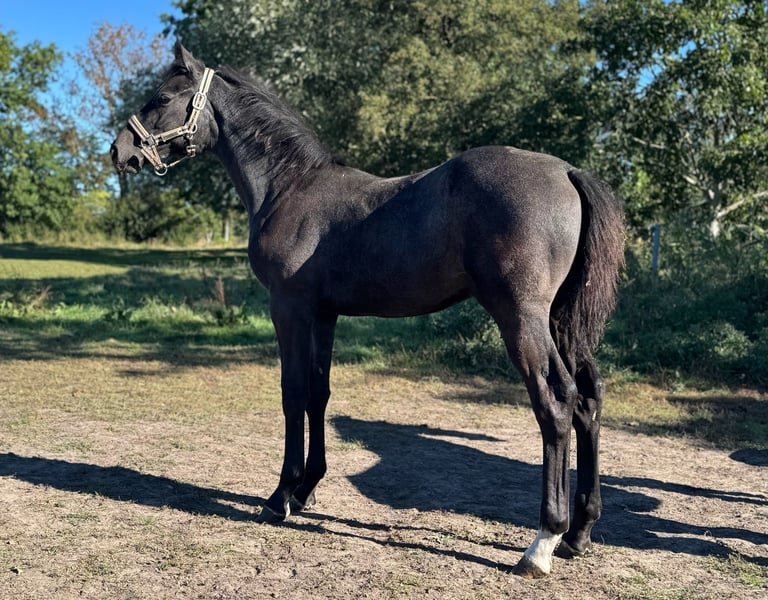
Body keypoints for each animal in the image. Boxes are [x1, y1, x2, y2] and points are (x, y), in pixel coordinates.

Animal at [111, 42, 625, 578]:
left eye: (162, 97)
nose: (120, 151)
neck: (288, 186)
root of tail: (566, 172)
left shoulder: (288, 309)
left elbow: (293, 393)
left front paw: (280, 497)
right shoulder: (324, 315)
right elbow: (318, 394)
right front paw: (307, 490)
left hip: (521, 319)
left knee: (557, 403)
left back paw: (542, 543)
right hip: (561, 322)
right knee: (588, 401)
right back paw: (579, 534)